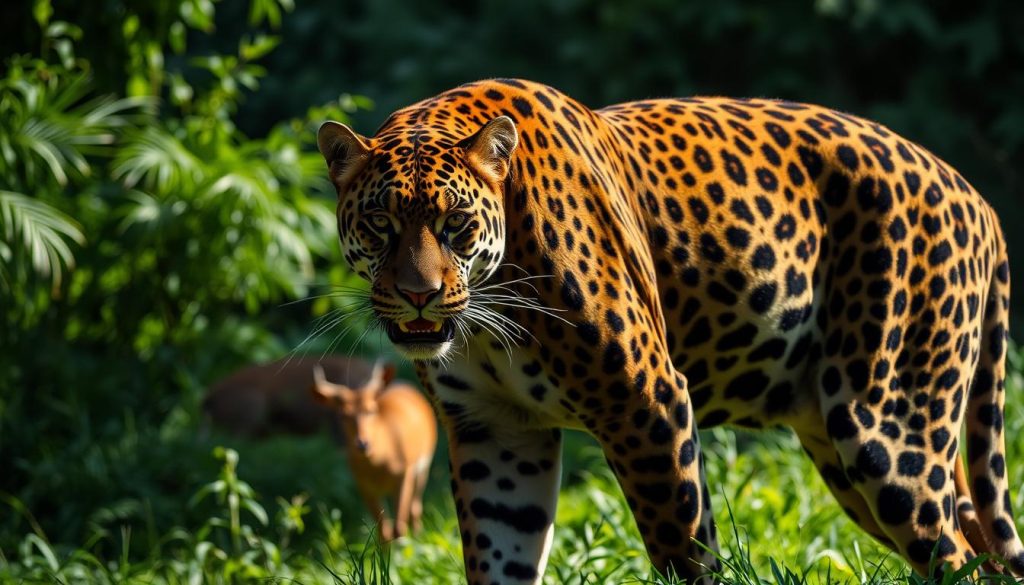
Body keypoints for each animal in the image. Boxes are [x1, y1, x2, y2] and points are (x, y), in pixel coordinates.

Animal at [316, 78, 1022, 583]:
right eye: (380, 224)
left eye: (456, 223)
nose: (419, 295)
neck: (493, 318)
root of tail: (978, 198)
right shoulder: (496, 430)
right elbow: (500, 555)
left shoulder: (645, 404)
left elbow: (684, 552)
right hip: (856, 452)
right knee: (974, 544)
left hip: (885, 433)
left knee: (955, 557)